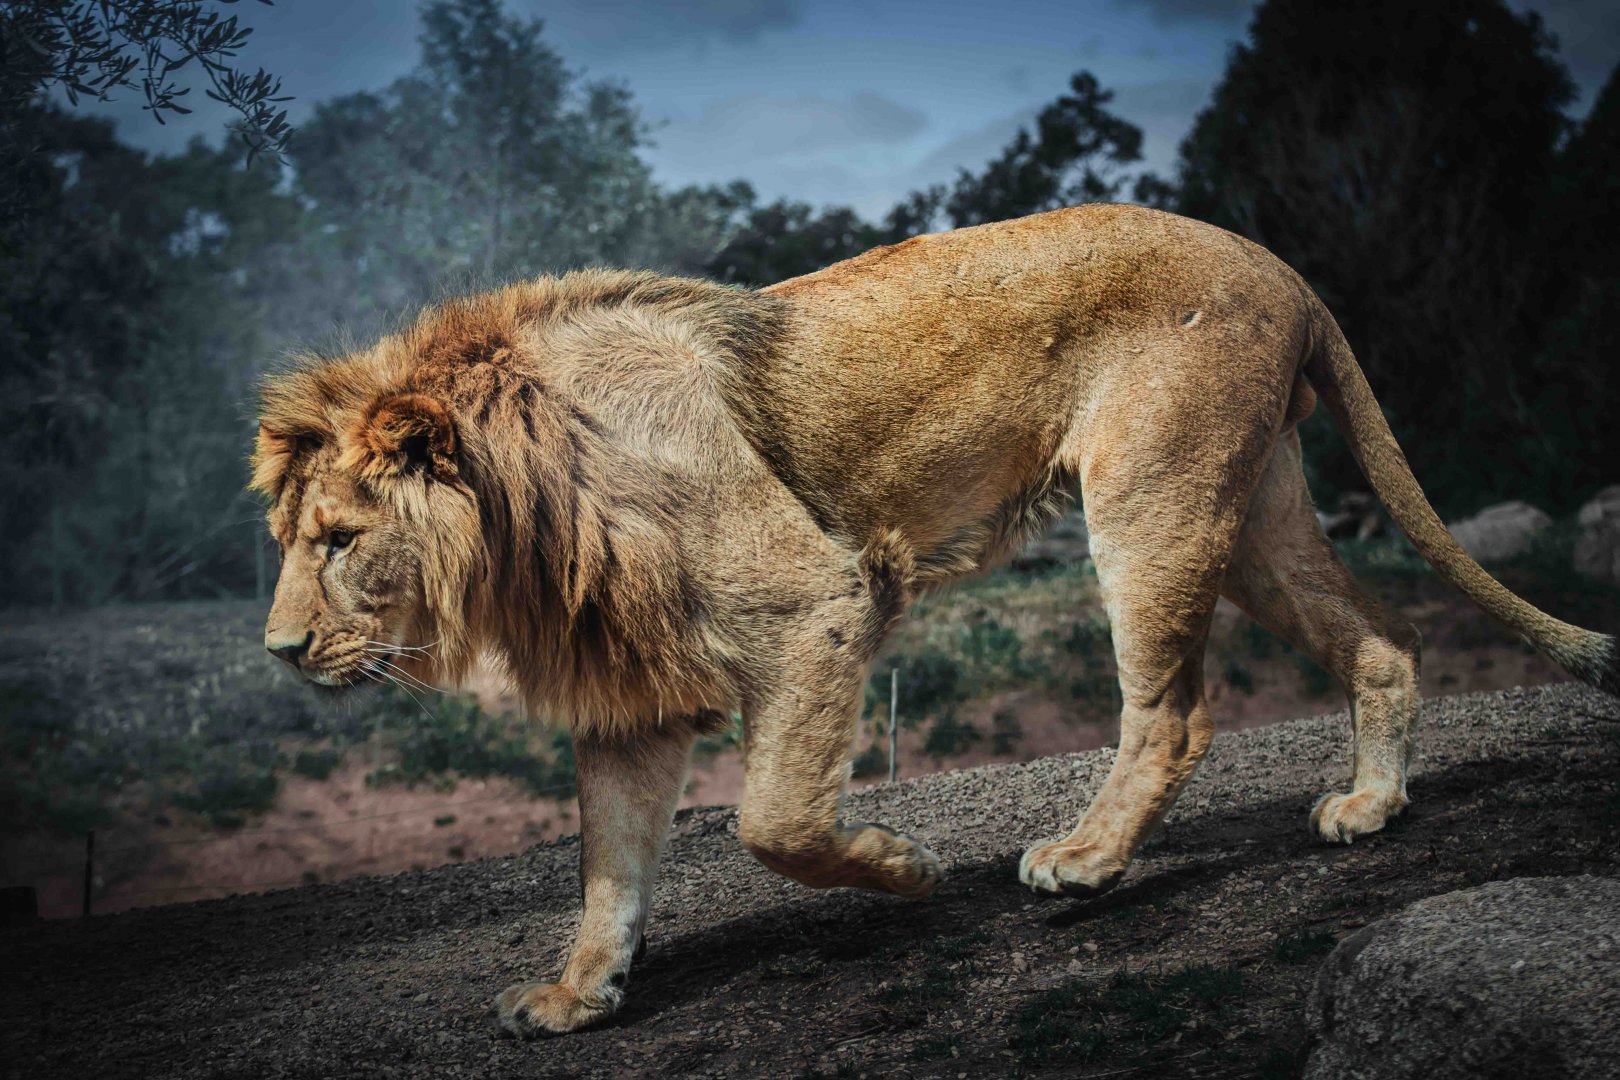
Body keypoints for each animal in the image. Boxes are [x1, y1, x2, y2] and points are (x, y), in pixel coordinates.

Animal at [252, 203, 1617, 1037]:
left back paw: (1086, 859)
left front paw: (900, 869)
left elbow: (774, 819)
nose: (278, 652)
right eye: (289, 544)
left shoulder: (816, 601)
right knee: (1382, 640)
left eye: (339, 542)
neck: (527, 514)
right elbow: (608, 867)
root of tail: (1280, 264)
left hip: (1153, 498)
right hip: (1256, 508)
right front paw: (579, 995)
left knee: (1173, 712)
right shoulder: (630, 691)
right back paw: (1373, 806)